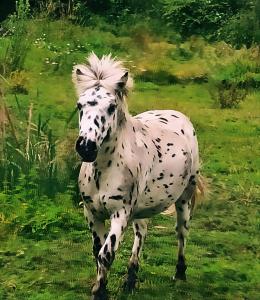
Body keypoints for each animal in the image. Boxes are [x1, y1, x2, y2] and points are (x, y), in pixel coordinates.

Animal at [72, 52, 203, 298]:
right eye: (79, 105)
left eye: (111, 107)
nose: (86, 147)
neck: (103, 170)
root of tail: (179, 115)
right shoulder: (92, 213)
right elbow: (97, 251)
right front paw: (102, 286)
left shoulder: (120, 213)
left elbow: (106, 254)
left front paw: (99, 291)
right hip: (142, 207)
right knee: (141, 234)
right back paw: (131, 279)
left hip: (184, 198)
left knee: (182, 233)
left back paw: (180, 273)